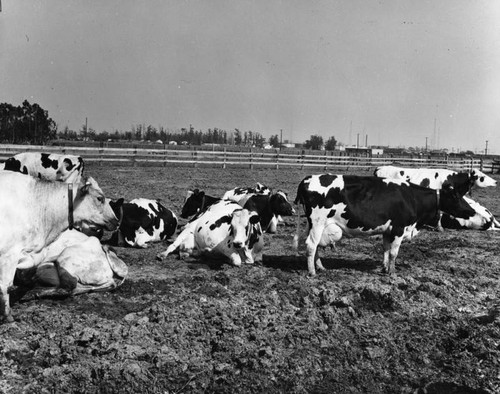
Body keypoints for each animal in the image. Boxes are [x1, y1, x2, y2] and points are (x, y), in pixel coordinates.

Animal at [294, 174, 474, 276]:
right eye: (456, 197)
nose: (472, 211)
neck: (412, 198)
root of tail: (306, 180)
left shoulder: (388, 230)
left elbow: (386, 250)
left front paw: (385, 268)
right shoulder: (399, 228)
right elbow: (394, 252)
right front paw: (392, 273)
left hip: (313, 224)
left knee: (316, 245)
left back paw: (320, 267)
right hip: (318, 221)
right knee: (311, 245)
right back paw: (312, 272)